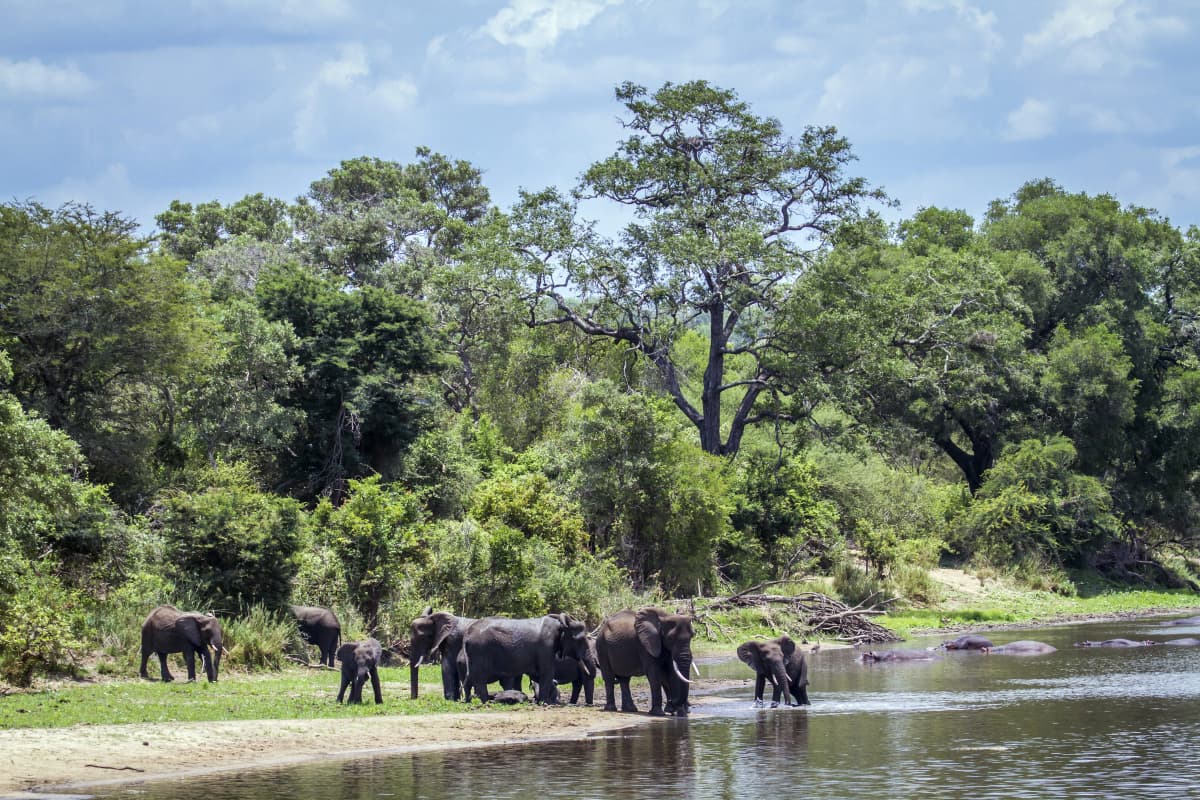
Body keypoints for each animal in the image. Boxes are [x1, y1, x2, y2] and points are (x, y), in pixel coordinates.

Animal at [460, 614, 592, 705]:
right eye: (580, 639)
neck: (560, 624)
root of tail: (466, 635)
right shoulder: (546, 647)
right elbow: (547, 673)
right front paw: (545, 703)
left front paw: (542, 702)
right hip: (480, 651)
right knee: (479, 679)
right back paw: (485, 702)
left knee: (472, 677)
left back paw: (472, 701)